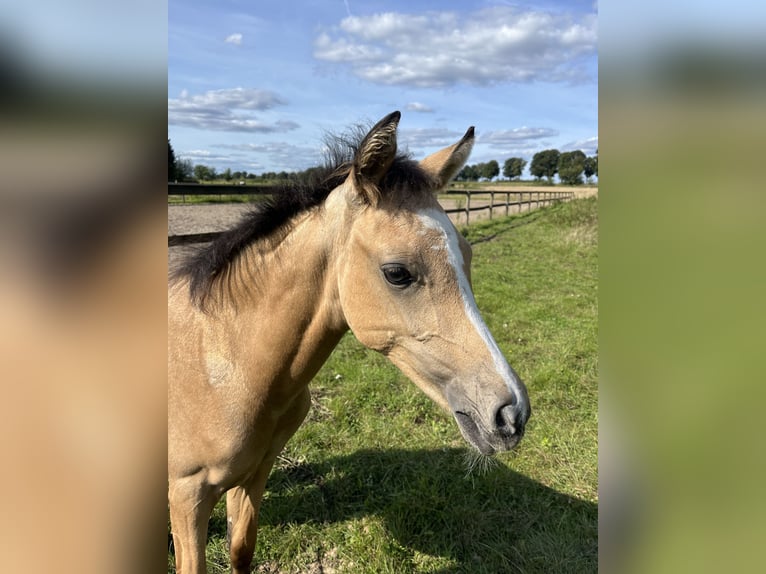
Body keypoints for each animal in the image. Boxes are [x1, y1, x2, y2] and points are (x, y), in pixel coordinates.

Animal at [169, 111, 532, 572]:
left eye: (466, 256)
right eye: (397, 272)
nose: (510, 414)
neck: (224, 366)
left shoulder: (256, 473)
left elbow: (241, 553)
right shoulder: (187, 497)